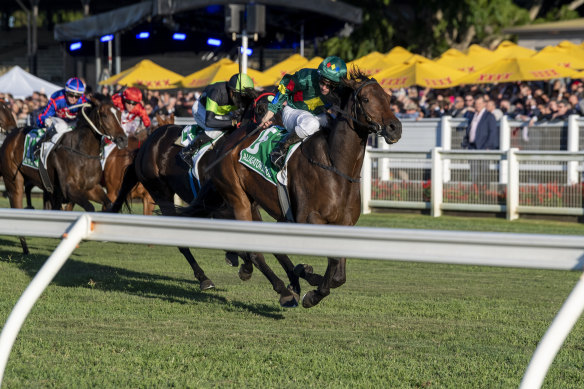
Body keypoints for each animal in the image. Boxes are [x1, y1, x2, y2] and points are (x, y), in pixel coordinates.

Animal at [0, 93, 127, 252]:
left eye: (120, 114)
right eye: (104, 115)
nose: (123, 139)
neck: (82, 151)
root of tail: (12, 134)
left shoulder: (91, 188)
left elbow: (108, 203)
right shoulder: (70, 189)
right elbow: (89, 207)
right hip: (14, 182)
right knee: (16, 206)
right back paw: (25, 248)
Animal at [190, 69, 402, 306]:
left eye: (388, 98)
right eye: (365, 99)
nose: (395, 128)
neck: (335, 165)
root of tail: (227, 143)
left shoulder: (344, 223)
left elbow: (339, 275)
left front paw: (310, 283)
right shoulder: (308, 219)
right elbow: (332, 259)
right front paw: (311, 291)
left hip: (253, 202)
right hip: (238, 198)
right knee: (254, 250)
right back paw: (282, 289)